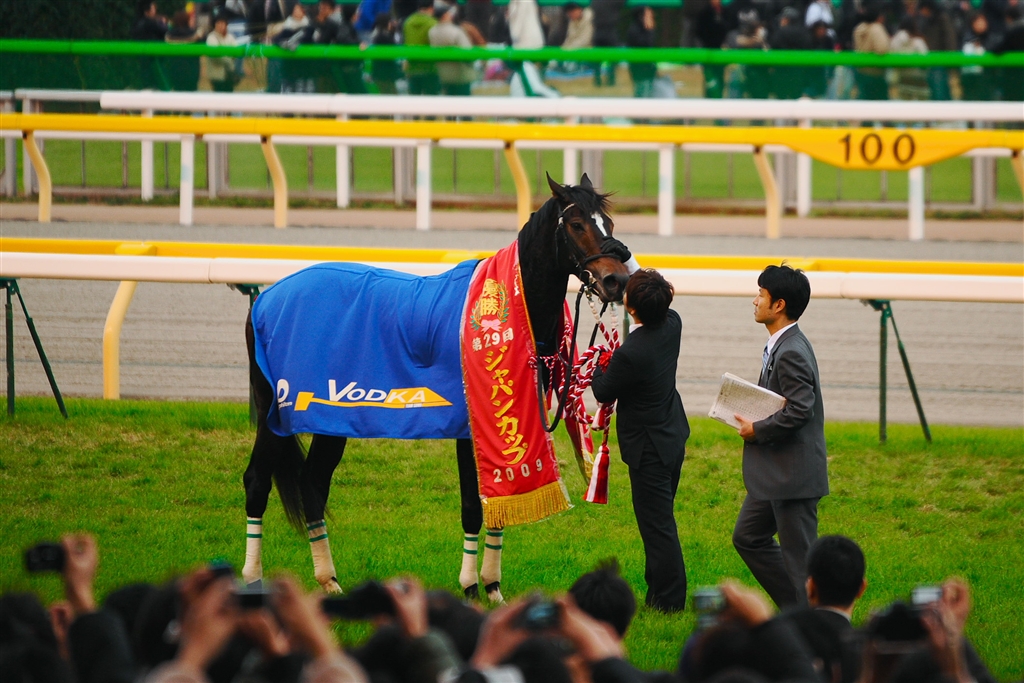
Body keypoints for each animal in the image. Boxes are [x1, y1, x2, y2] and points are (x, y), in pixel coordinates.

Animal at [240, 174, 635, 601]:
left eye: (608, 223)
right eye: (577, 224)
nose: (616, 280)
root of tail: (266, 299)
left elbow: (500, 504)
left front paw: (493, 587)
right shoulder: (471, 427)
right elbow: (474, 506)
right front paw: (470, 587)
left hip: (331, 418)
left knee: (312, 485)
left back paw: (330, 581)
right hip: (275, 414)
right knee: (257, 481)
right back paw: (252, 580)